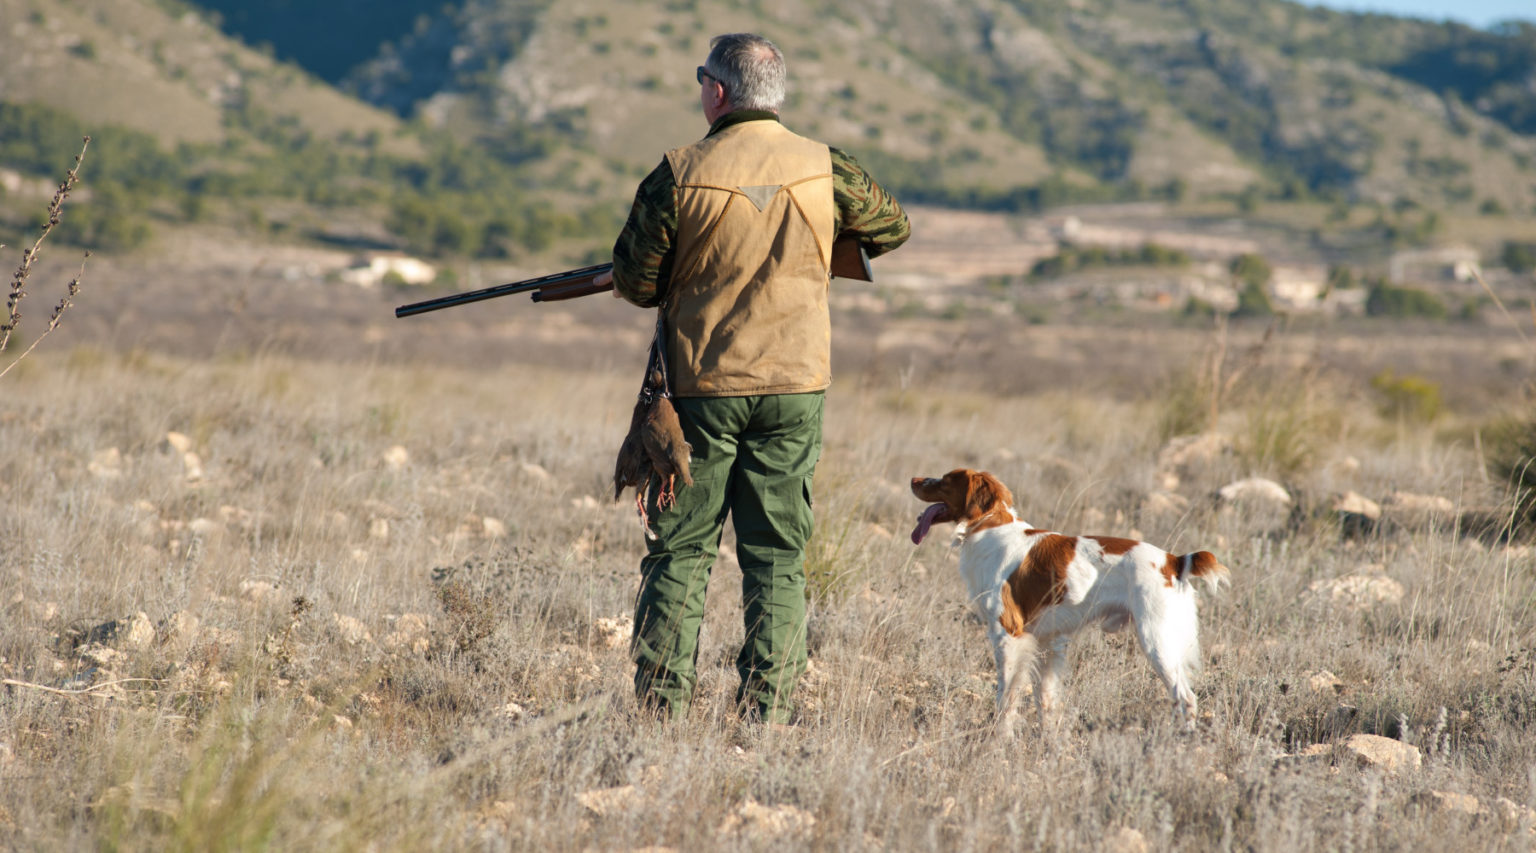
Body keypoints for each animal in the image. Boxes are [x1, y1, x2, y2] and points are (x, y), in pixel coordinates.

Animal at [903, 470, 1228, 731]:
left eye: (945, 480)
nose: (913, 479)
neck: (988, 528)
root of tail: (1174, 561)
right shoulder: (1049, 640)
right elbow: (1045, 699)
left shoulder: (1008, 634)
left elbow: (1006, 697)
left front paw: (999, 739)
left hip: (1156, 639)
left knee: (1185, 697)